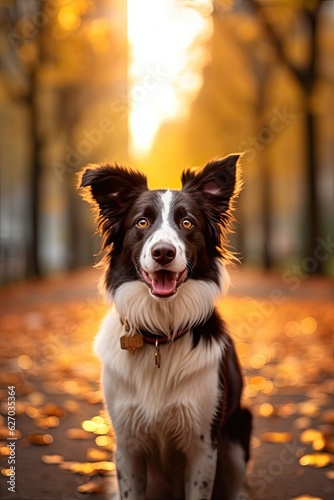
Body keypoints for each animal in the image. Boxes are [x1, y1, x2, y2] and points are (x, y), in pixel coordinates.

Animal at [79, 154, 252, 498]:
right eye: (141, 223)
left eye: (187, 223)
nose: (163, 253)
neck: (160, 335)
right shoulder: (127, 445)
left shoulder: (204, 444)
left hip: (239, 433)